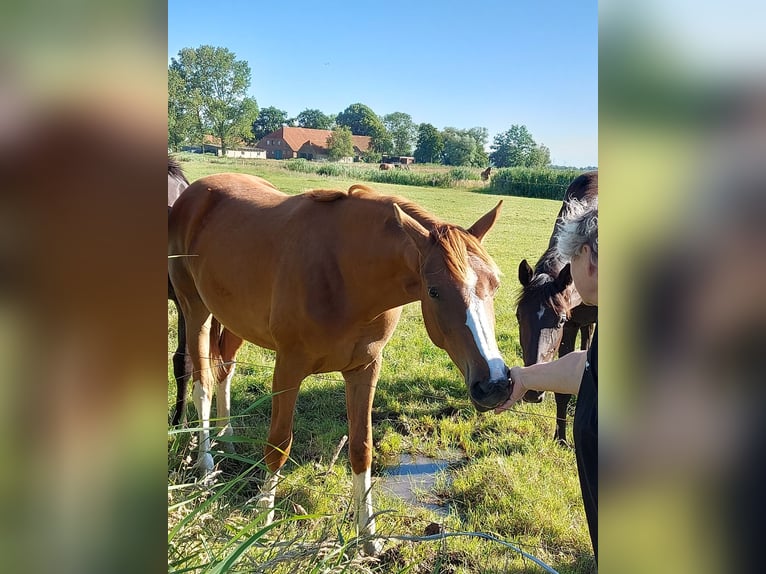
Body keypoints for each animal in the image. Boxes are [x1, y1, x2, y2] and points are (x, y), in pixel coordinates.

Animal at [168, 174, 510, 552]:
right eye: (433, 290)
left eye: (495, 283)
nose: (494, 384)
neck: (344, 274)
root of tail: (195, 191)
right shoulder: (288, 367)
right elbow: (278, 445)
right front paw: (262, 520)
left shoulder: (364, 370)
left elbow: (362, 449)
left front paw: (368, 538)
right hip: (195, 310)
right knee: (202, 386)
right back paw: (206, 466)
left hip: (233, 320)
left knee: (224, 371)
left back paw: (227, 438)